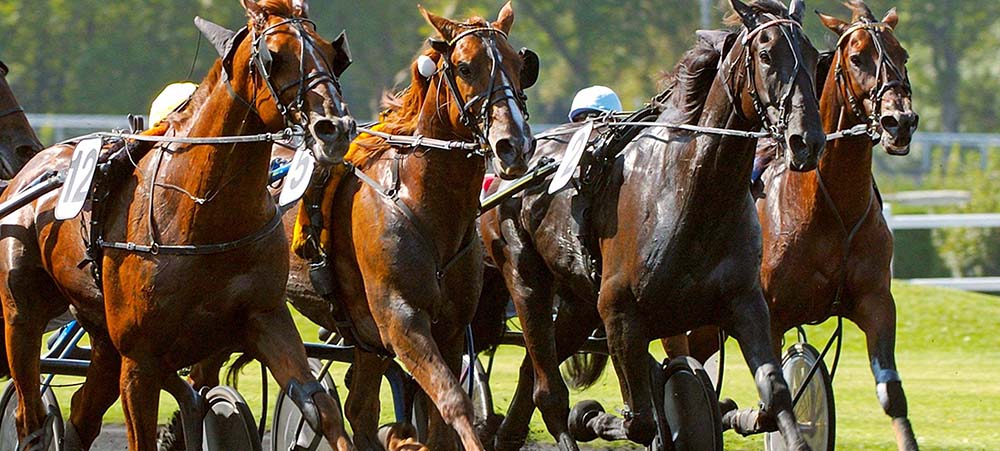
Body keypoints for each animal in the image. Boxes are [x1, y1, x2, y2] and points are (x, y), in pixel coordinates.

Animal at [0, 1, 358, 450]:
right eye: (273, 56)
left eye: (332, 54)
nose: (334, 128)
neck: (203, 212)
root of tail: (32, 166)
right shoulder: (140, 360)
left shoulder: (265, 316)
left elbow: (318, 407)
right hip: (23, 315)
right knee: (29, 415)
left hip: (101, 333)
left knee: (83, 411)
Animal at [288, 4, 536, 451]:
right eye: (465, 67)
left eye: (519, 65)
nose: (515, 145)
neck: (421, 203)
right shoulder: (402, 322)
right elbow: (454, 401)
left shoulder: (450, 328)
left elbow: (439, 423)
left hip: (364, 336)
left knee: (360, 409)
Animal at [480, 1, 824, 450]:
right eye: (766, 55)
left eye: (815, 57)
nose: (807, 140)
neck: (688, 191)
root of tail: (514, 160)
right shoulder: (620, 313)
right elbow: (641, 421)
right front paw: (604, 420)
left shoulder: (744, 302)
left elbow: (777, 395)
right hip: (526, 279)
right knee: (548, 390)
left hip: (577, 304)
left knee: (530, 374)